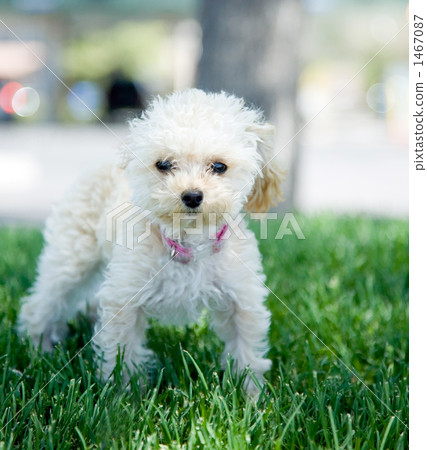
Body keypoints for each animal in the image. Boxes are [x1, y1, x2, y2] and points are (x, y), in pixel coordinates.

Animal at [17, 89, 284, 396]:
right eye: (164, 165)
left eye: (219, 166)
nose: (192, 196)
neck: (189, 243)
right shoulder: (124, 299)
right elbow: (122, 354)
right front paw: (124, 396)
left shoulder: (243, 299)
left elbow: (246, 350)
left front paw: (250, 395)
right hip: (71, 261)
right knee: (41, 304)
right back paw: (39, 350)